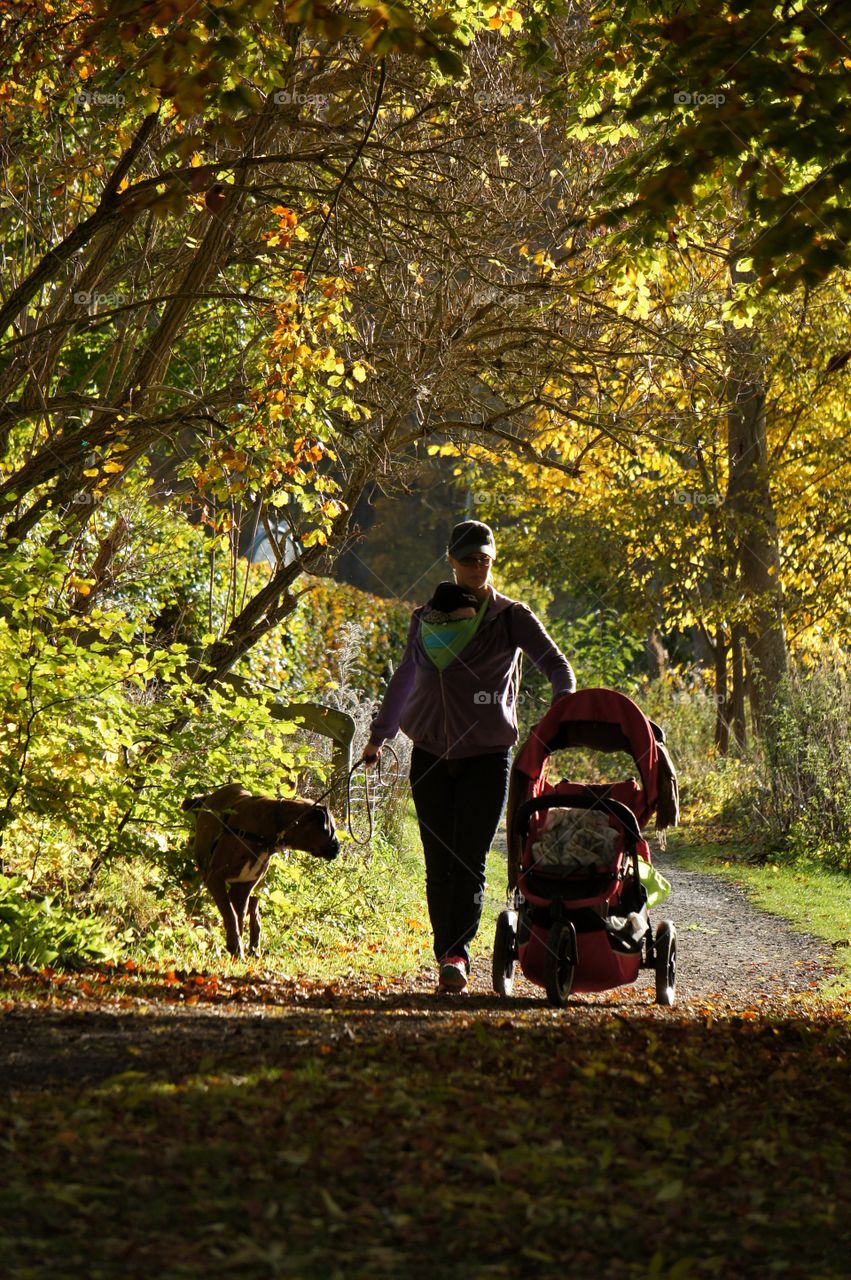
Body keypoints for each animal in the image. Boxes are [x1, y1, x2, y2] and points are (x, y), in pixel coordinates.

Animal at [182, 778, 337, 962]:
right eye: (332, 830)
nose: (338, 848)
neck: (274, 824)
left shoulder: (243, 888)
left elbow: (238, 916)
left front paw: (236, 947)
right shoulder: (215, 878)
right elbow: (231, 914)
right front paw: (235, 946)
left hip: (257, 887)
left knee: (254, 915)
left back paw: (254, 947)